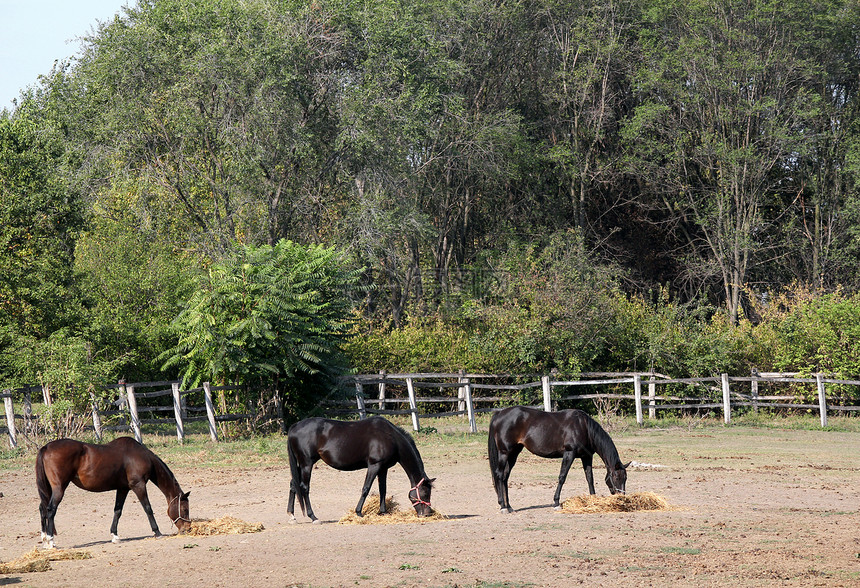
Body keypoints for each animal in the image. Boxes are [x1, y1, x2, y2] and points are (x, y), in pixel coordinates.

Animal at [35, 436, 190, 548]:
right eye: (185, 509)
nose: (187, 528)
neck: (139, 456)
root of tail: (46, 447)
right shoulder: (138, 486)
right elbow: (148, 509)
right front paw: (157, 532)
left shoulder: (123, 489)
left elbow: (117, 511)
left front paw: (115, 536)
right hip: (59, 488)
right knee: (51, 509)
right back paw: (50, 541)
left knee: (42, 508)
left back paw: (44, 539)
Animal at [288, 416, 436, 520]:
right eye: (425, 493)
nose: (428, 513)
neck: (390, 437)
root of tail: (294, 427)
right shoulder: (374, 466)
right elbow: (366, 488)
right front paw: (359, 512)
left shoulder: (383, 468)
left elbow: (383, 490)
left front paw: (383, 512)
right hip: (307, 464)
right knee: (304, 487)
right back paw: (312, 516)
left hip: (301, 465)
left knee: (293, 484)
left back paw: (292, 515)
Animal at [490, 406, 632, 512]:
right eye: (616, 477)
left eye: (625, 478)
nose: (622, 498)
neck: (584, 427)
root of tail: (499, 414)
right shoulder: (569, 453)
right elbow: (562, 477)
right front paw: (556, 503)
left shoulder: (586, 457)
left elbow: (589, 478)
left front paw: (593, 499)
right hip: (504, 453)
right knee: (499, 475)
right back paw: (503, 506)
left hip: (514, 453)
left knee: (505, 477)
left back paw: (509, 506)